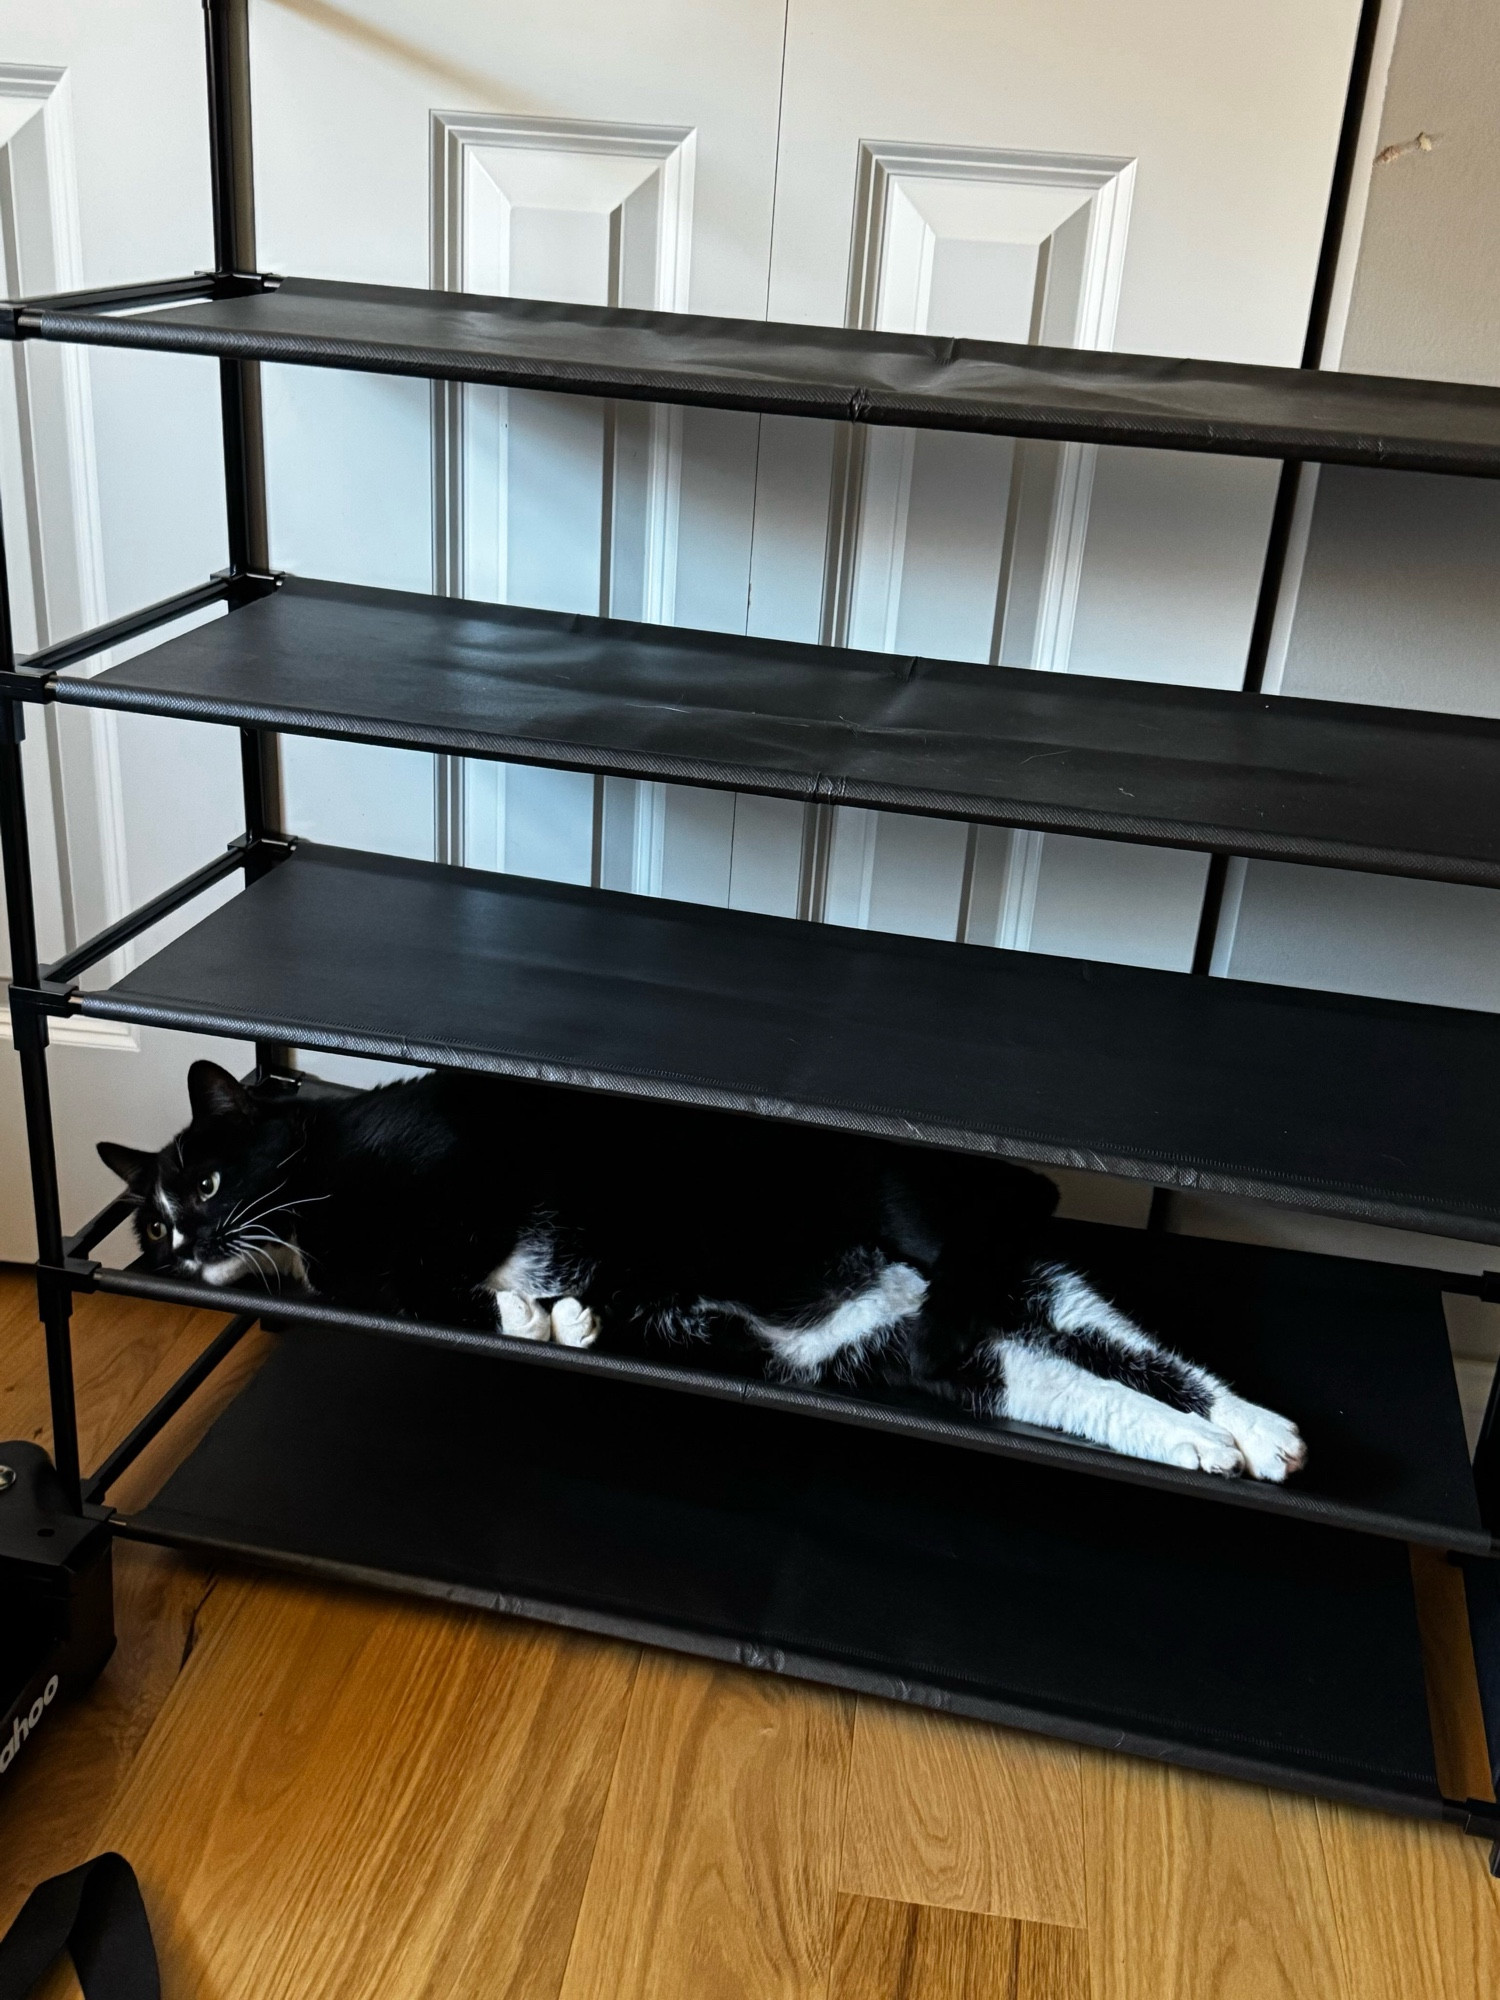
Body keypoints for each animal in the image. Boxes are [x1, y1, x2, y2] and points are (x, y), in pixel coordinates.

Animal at [100, 1064, 1312, 1488]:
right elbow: (411, 1287)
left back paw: (1249, 1434)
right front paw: (564, 1315)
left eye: (205, 1178)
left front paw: (532, 1312)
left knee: (1119, 1349)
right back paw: (1230, 1441)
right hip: (928, 1340)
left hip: (953, 1273)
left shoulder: (460, 1172)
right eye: (150, 1224)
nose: (181, 1242)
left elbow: (419, 1272)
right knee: (1095, 1371)